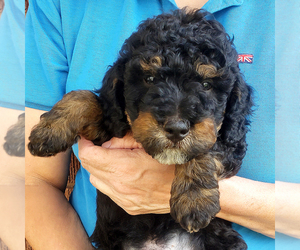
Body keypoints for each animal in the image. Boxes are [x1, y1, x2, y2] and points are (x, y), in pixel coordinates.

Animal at [29, 8, 252, 249]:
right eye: (150, 78)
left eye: (206, 85)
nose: (176, 129)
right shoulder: (108, 129)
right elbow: (85, 97)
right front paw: (47, 132)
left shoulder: (232, 142)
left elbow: (206, 149)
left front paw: (194, 200)